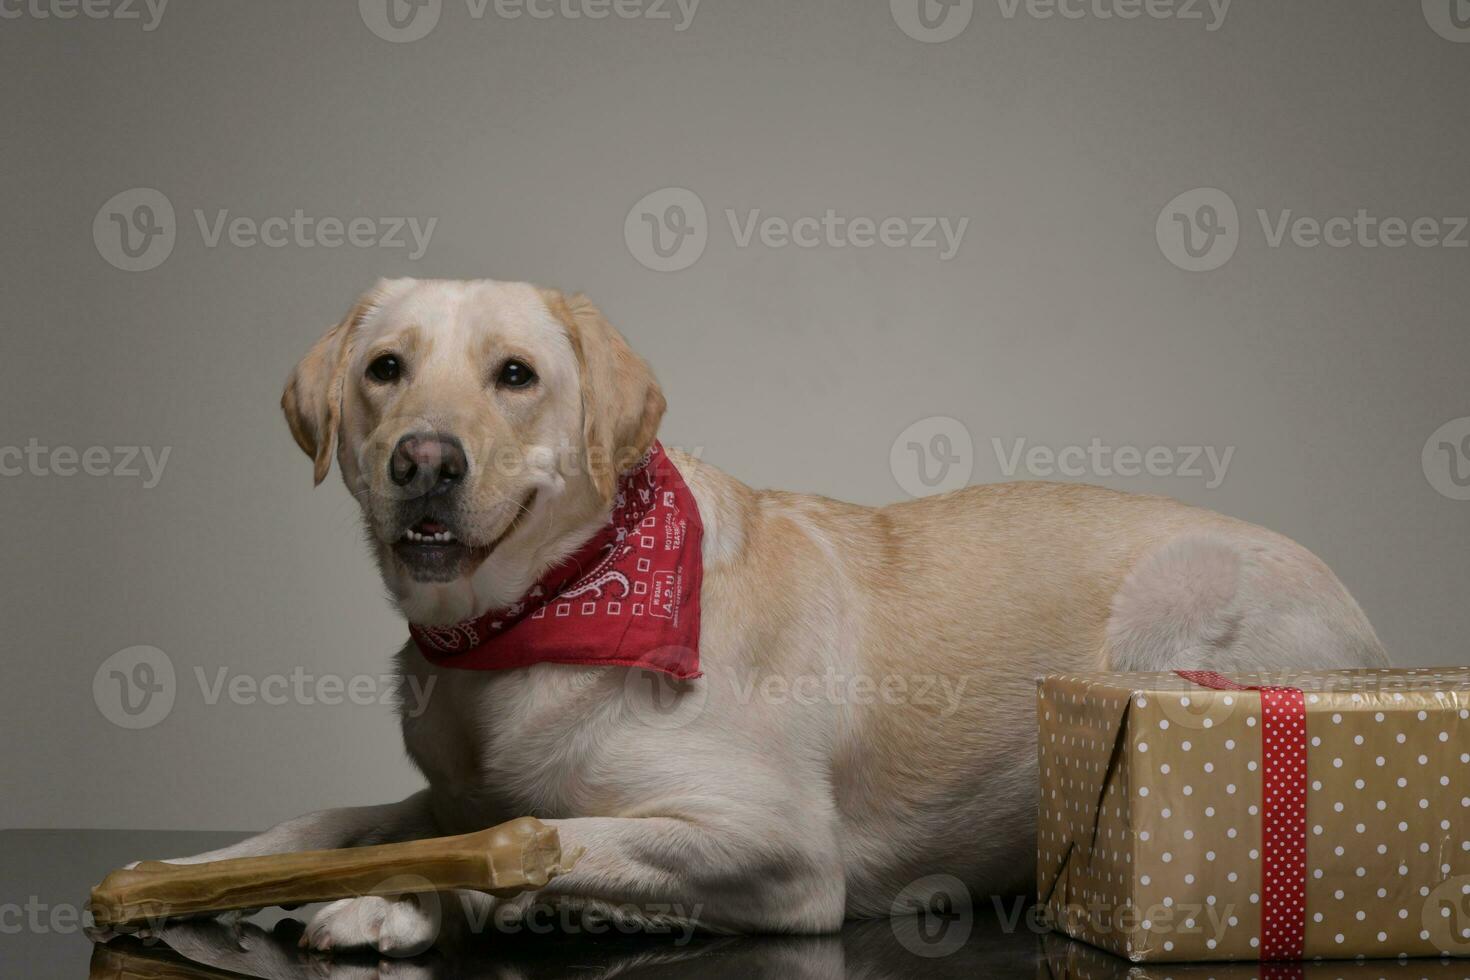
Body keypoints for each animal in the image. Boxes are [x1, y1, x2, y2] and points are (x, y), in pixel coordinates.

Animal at [140, 279, 1387, 952]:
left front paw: (401, 905)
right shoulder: (448, 782)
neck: (551, 601)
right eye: (386, 368)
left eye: (516, 375)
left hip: (1184, 592)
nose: (424, 463)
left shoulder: (775, 847)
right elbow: (344, 816)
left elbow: (530, 840)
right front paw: (206, 872)